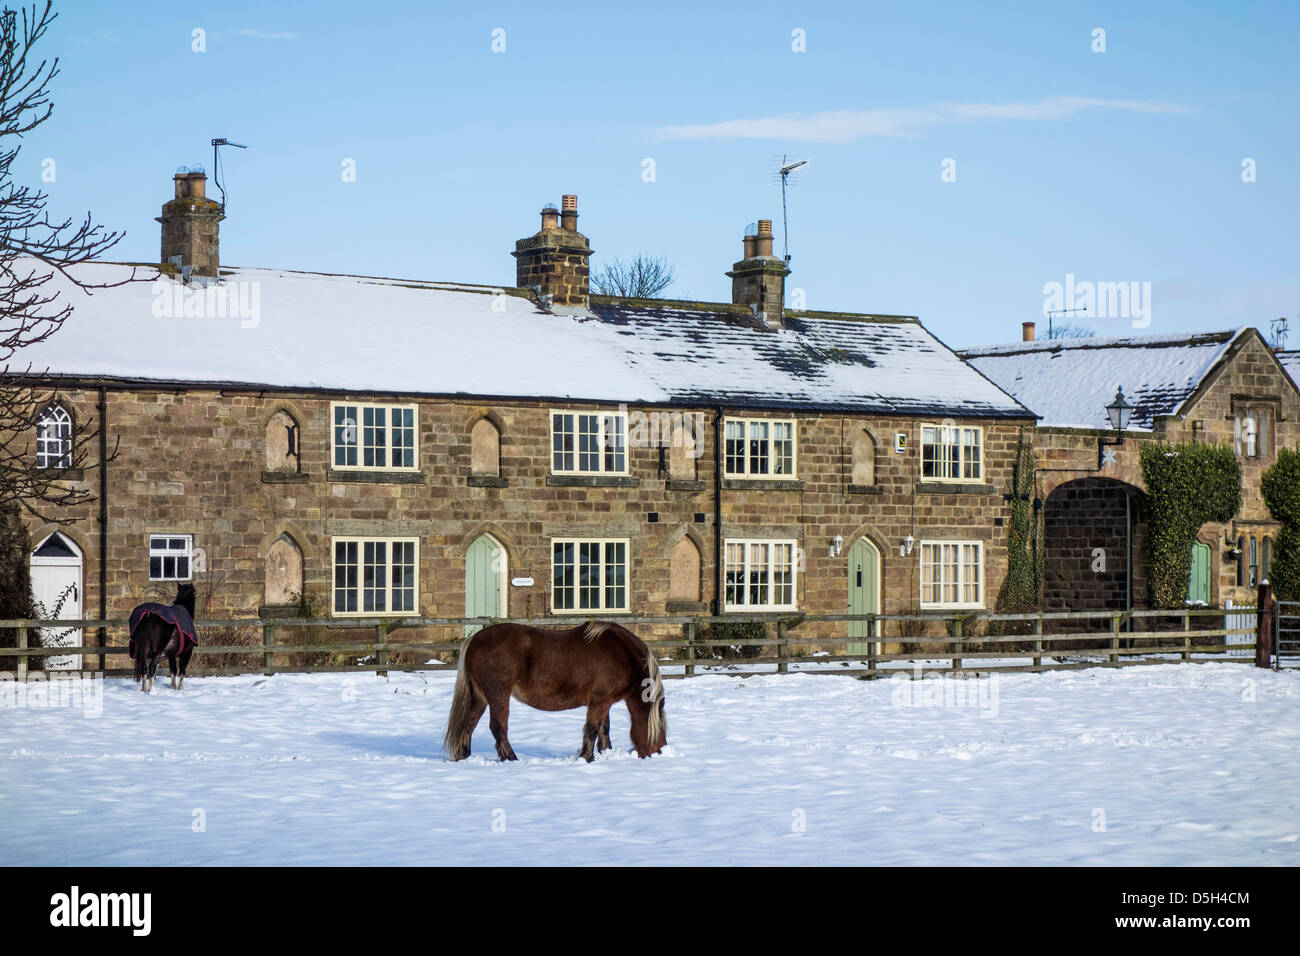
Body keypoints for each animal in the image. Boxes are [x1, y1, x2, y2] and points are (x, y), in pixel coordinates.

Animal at [447, 621, 670, 764]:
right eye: (661, 729)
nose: (659, 752)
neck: (622, 655)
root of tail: (474, 640)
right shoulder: (599, 701)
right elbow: (592, 729)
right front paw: (586, 758)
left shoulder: (604, 702)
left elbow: (604, 730)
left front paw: (605, 754)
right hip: (497, 695)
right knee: (498, 727)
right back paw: (511, 758)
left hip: (480, 697)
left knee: (468, 725)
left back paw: (464, 757)